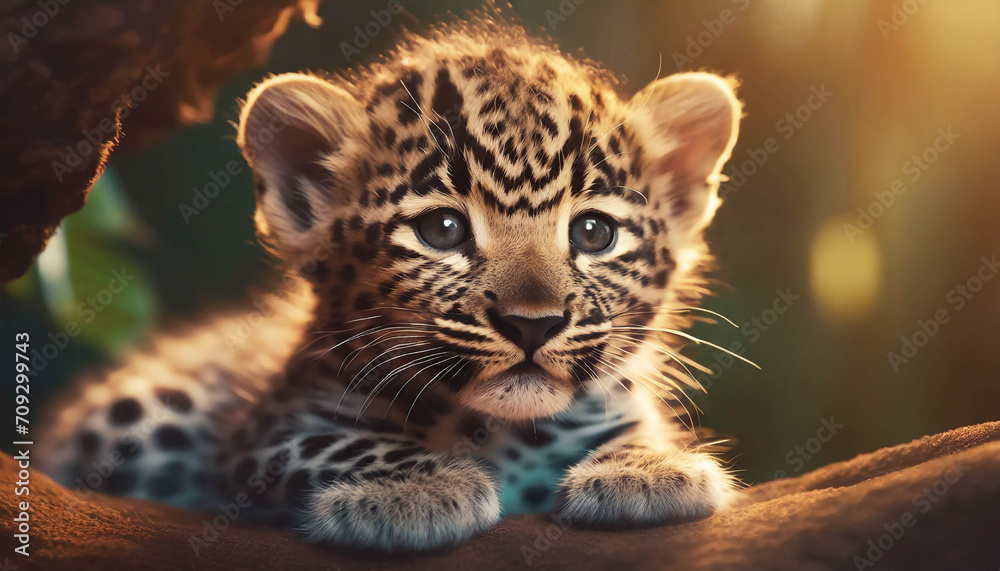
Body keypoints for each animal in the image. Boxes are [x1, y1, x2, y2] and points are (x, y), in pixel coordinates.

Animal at [38, 14, 745, 552]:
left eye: (595, 233)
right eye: (442, 230)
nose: (532, 325)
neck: (498, 432)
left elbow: (628, 426)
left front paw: (648, 469)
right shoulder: (266, 426)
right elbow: (335, 443)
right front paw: (411, 489)